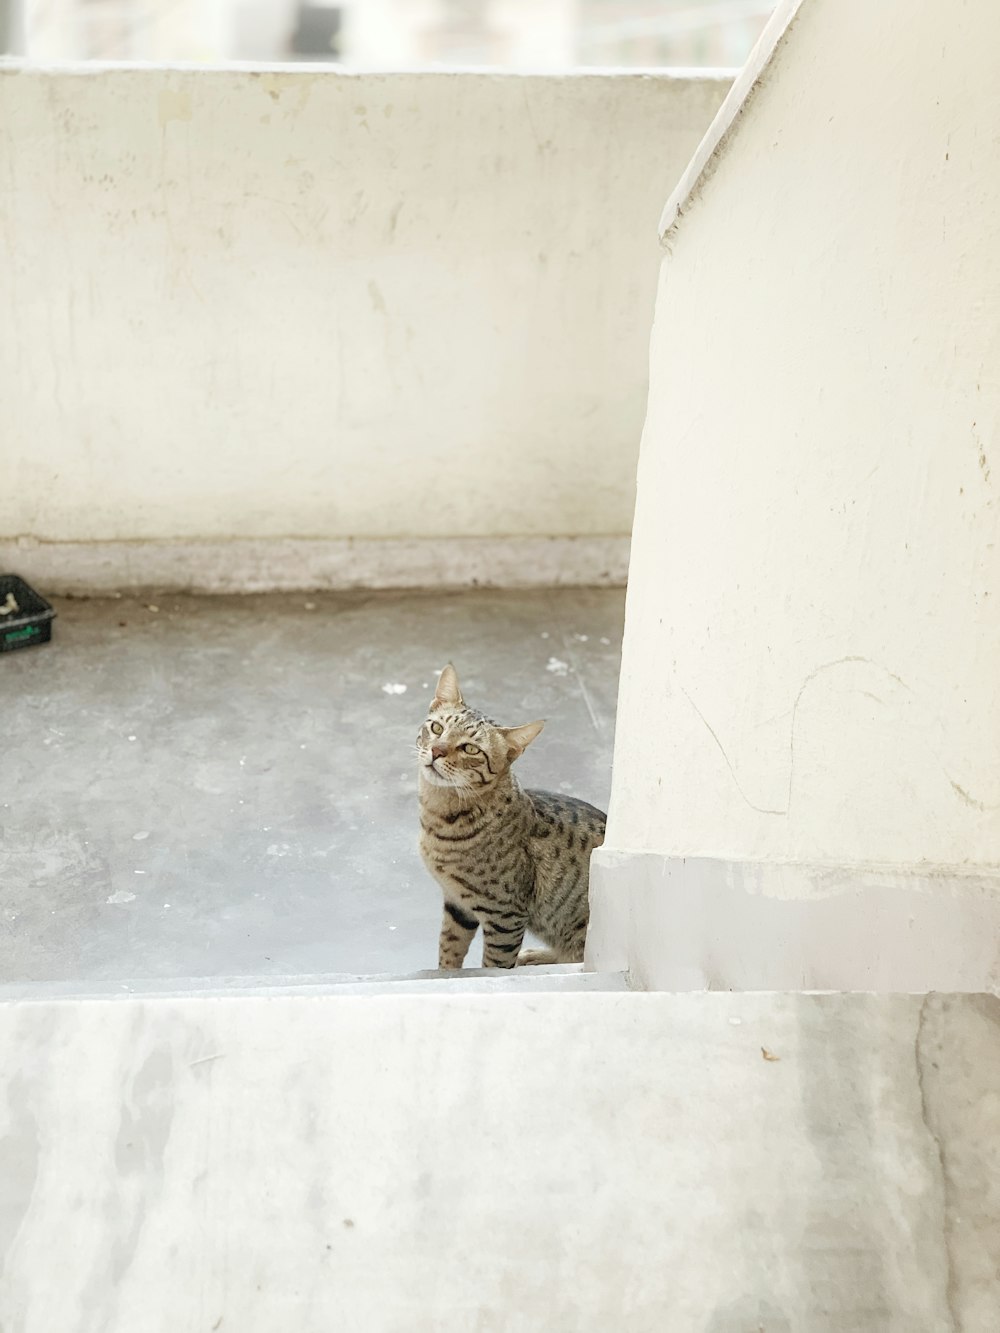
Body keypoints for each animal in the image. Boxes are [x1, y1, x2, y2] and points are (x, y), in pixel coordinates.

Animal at [416, 663, 608, 970]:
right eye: (437, 728)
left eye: (470, 748)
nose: (436, 750)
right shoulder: (457, 903)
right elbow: (449, 948)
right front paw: (444, 972)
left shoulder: (505, 916)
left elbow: (494, 965)